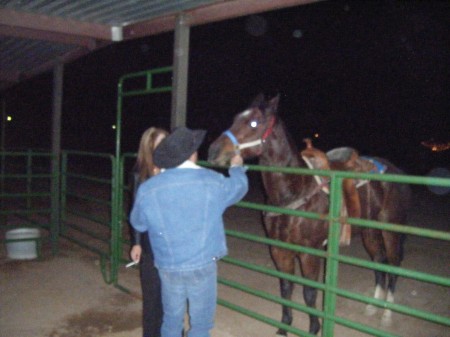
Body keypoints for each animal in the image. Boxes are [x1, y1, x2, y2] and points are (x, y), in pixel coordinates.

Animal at [207, 93, 412, 334]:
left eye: (254, 123)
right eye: (236, 118)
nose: (213, 151)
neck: (295, 191)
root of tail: (397, 172)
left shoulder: (309, 253)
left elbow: (309, 293)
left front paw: (314, 328)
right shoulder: (280, 250)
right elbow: (286, 288)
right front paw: (284, 326)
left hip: (391, 232)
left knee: (393, 265)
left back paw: (387, 313)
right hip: (369, 232)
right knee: (379, 261)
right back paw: (372, 306)